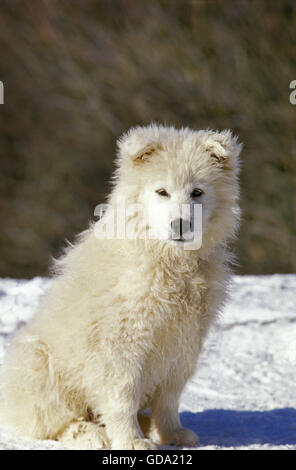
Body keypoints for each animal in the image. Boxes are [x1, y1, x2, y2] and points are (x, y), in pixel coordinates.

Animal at [0, 124, 240, 448]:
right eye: (162, 192)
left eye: (197, 192)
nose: (180, 225)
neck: (169, 260)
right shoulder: (121, 341)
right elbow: (122, 395)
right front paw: (132, 441)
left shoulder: (184, 341)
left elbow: (169, 397)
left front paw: (172, 434)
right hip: (38, 364)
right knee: (53, 421)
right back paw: (91, 434)